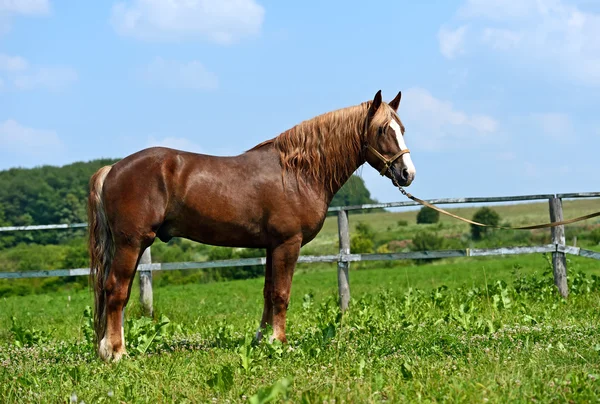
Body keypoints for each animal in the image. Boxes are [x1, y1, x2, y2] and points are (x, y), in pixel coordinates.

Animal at [88, 90, 418, 362]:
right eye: (382, 130)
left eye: (402, 130)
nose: (407, 173)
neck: (298, 173)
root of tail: (112, 169)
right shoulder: (288, 243)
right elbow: (282, 294)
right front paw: (280, 342)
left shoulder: (272, 246)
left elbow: (269, 292)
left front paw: (264, 339)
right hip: (131, 243)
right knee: (116, 290)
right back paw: (115, 352)